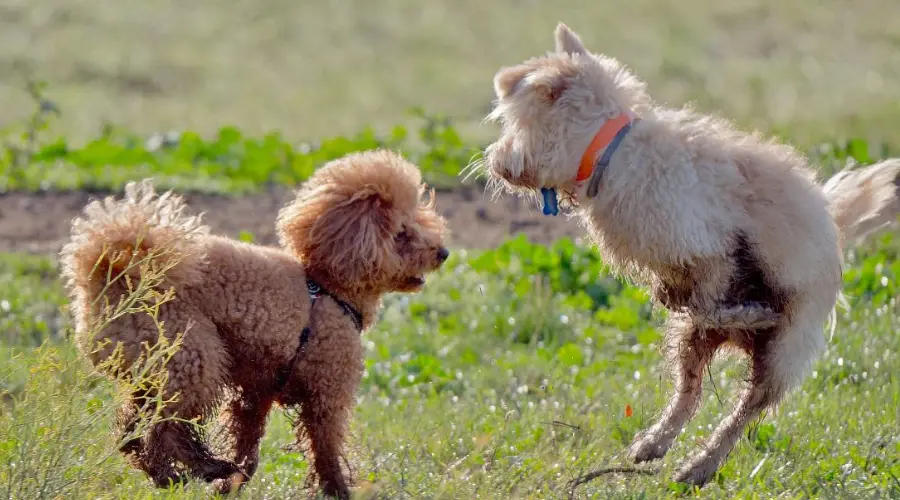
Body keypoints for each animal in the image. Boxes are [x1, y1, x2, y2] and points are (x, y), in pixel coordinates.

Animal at [474, 21, 896, 486]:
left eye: (512, 121)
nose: (494, 162)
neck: (614, 153)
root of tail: (835, 219)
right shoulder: (690, 271)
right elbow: (687, 303)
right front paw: (735, 310)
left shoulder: (714, 250)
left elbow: (712, 304)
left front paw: (753, 313)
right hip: (692, 344)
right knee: (689, 393)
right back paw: (655, 444)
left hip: (785, 350)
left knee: (743, 411)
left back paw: (702, 464)